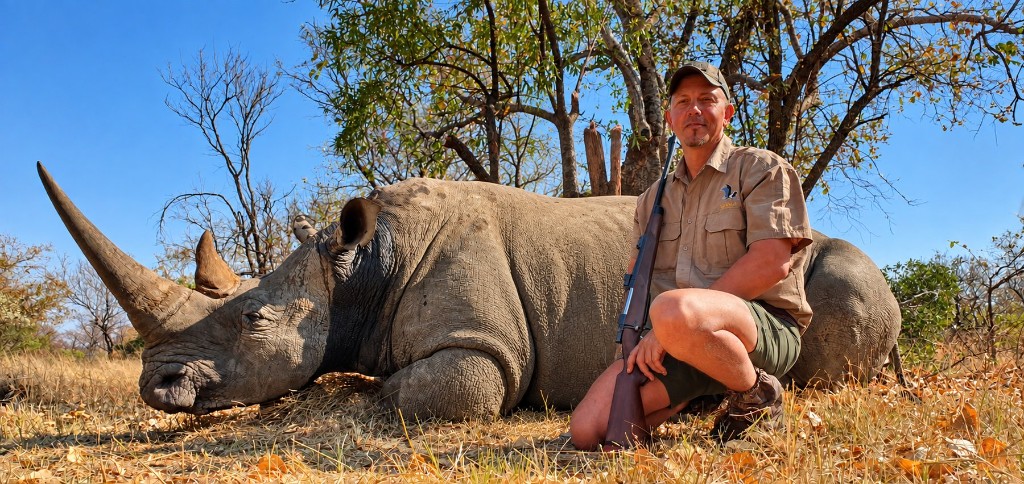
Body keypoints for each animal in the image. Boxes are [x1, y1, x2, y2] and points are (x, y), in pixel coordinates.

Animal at [38, 162, 901, 419]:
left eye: (252, 319)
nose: (155, 386)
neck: (357, 264)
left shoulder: (480, 350)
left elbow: (417, 388)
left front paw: (363, 388)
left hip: (848, 272)